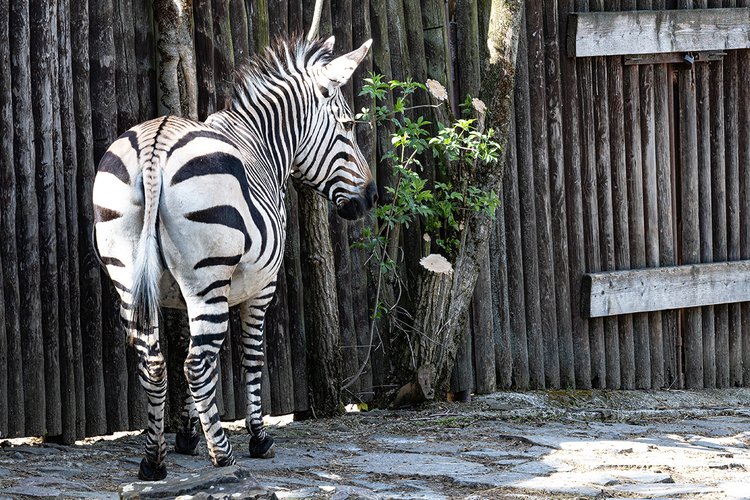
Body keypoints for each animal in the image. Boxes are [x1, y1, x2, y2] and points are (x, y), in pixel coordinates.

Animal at [92, 36, 376, 480]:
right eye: (347, 126)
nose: (371, 197)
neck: (262, 144)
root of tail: (156, 144)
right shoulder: (261, 285)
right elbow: (251, 355)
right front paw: (258, 438)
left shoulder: (180, 294)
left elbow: (194, 353)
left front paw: (187, 435)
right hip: (208, 280)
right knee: (195, 364)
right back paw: (223, 456)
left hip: (129, 278)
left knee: (156, 362)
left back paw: (154, 461)